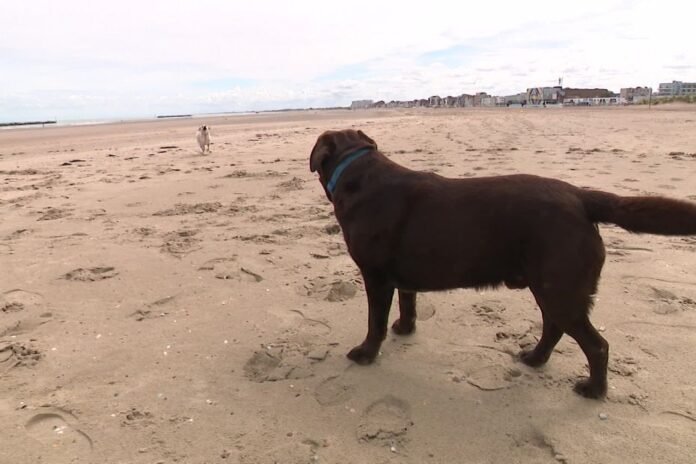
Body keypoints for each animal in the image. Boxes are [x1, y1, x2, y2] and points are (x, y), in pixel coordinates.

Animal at [310, 129, 696, 396]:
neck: (358, 172)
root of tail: (581, 197)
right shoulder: (402, 276)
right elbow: (409, 302)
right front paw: (405, 328)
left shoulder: (375, 276)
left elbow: (375, 322)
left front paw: (366, 353)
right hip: (550, 287)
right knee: (554, 328)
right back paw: (535, 359)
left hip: (560, 290)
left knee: (596, 345)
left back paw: (593, 390)